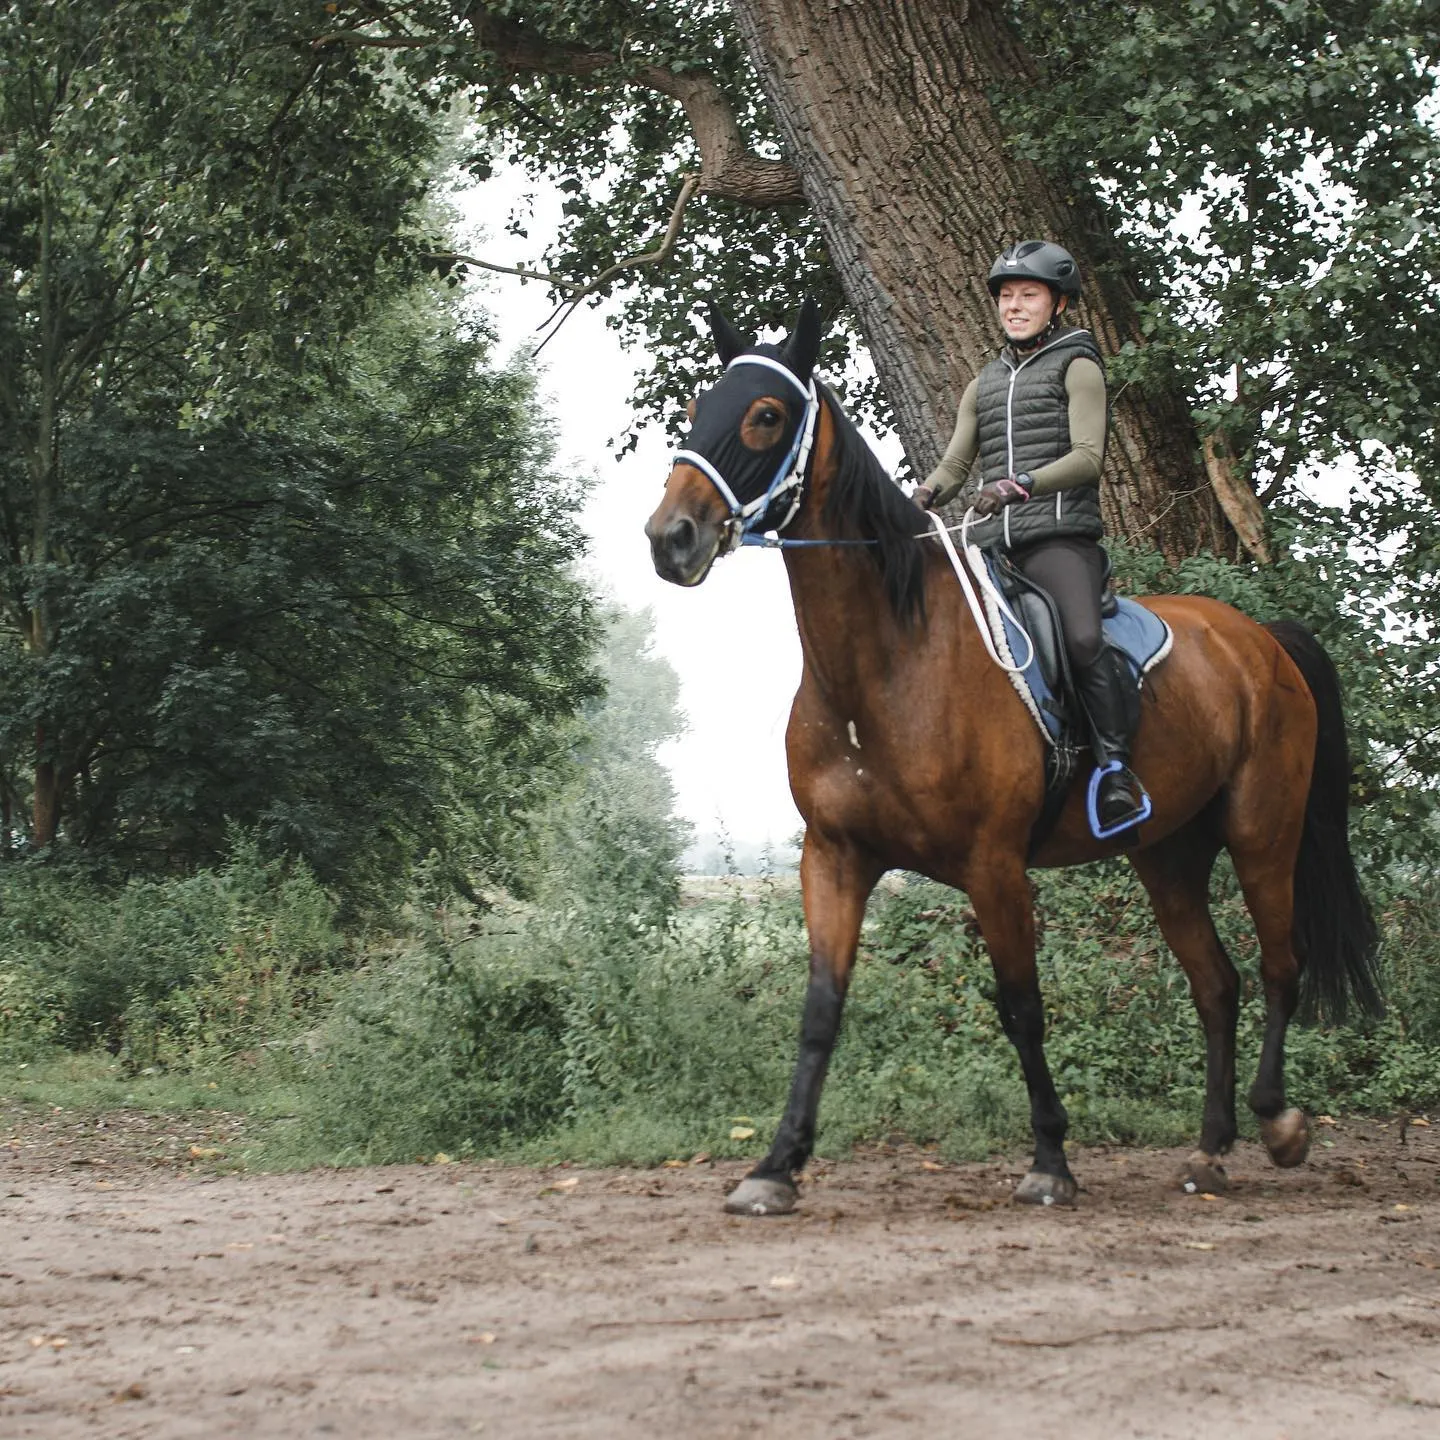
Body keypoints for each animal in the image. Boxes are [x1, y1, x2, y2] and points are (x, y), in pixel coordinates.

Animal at [648, 300, 1376, 1215]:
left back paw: (1279, 1125)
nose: (669, 538)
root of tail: (1261, 638)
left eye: (767, 415)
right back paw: (1210, 1151)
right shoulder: (835, 858)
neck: (886, 665)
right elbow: (820, 1012)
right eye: (700, 405)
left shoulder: (993, 866)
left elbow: (1022, 1007)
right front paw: (775, 1167)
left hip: (1262, 832)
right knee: (1217, 984)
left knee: (1281, 966)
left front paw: (1051, 1161)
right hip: (1168, 854)